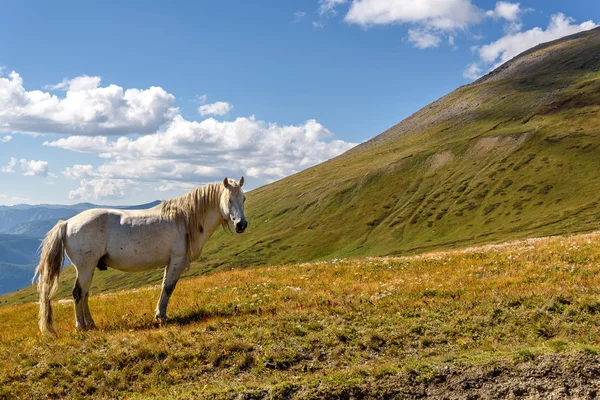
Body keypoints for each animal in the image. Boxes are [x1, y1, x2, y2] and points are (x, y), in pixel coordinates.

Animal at [32, 177, 248, 336]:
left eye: (244, 199)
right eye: (229, 200)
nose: (241, 225)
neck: (185, 219)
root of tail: (67, 223)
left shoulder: (170, 262)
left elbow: (164, 287)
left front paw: (159, 314)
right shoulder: (177, 260)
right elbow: (169, 288)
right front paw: (162, 317)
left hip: (89, 268)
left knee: (84, 294)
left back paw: (91, 324)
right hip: (85, 267)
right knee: (78, 293)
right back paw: (82, 326)